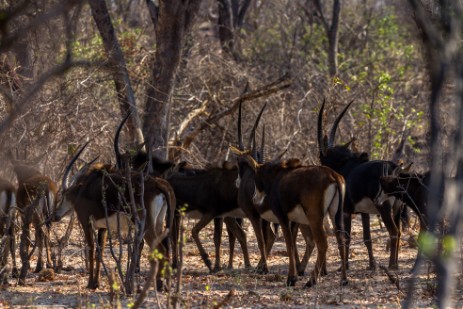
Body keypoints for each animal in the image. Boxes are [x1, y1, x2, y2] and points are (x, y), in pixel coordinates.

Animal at [50, 144, 178, 288]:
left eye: (63, 195)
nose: (55, 216)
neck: (82, 190)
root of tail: (159, 184)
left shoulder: (86, 222)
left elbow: (91, 249)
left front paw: (89, 283)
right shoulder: (103, 227)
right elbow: (99, 252)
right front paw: (96, 283)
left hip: (146, 225)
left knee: (161, 249)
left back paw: (159, 285)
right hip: (159, 222)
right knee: (166, 249)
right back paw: (165, 285)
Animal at [115, 113, 250, 272]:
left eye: (125, 165)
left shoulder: (173, 212)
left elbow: (171, 237)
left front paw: (171, 265)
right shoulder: (176, 213)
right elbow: (173, 237)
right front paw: (174, 263)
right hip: (226, 215)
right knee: (236, 234)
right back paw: (234, 265)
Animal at [230, 146, 346, 288]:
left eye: (256, 177)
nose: (255, 199)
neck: (275, 177)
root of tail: (333, 175)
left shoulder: (280, 217)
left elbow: (287, 245)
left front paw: (291, 278)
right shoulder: (293, 220)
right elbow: (292, 244)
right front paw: (295, 272)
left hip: (314, 218)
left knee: (322, 244)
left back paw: (311, 281)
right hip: (335, 215)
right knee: (341, 240)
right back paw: (343, 279)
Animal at [234, 101, 314, 274]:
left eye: (238, 161)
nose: (237, 182)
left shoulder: (254, 215)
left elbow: (262, 240)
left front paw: (262, 267)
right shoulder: (265, 217)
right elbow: (268, 238)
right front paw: (261, 266)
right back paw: (300, 268)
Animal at [318, 101, 408, 270]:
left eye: (321, 157)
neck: (345, 166)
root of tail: (394, 168)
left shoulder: (346, 211)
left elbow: (346, 237)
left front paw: (345, 266)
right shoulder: (364, 212)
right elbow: (367, 238)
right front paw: (372, 265)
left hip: (384, 206)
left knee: (393, 231)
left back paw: (391, 265)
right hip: (397, 208)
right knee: (399, 232)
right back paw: (396, 263)